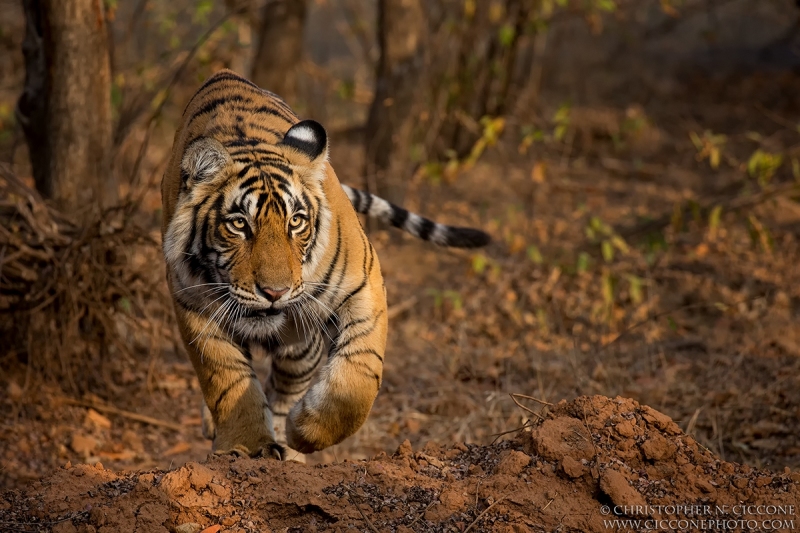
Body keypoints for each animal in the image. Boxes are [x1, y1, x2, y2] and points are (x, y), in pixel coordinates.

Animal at [162, 69, 488, 462]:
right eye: (239, 224)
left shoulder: (363, 284)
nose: (275, 293)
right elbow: (226, 381)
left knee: (286, 385)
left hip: (301, 343)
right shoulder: (192, 303)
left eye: (296, 222)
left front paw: (302, 433)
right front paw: (247, 444)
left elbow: (356, 383)